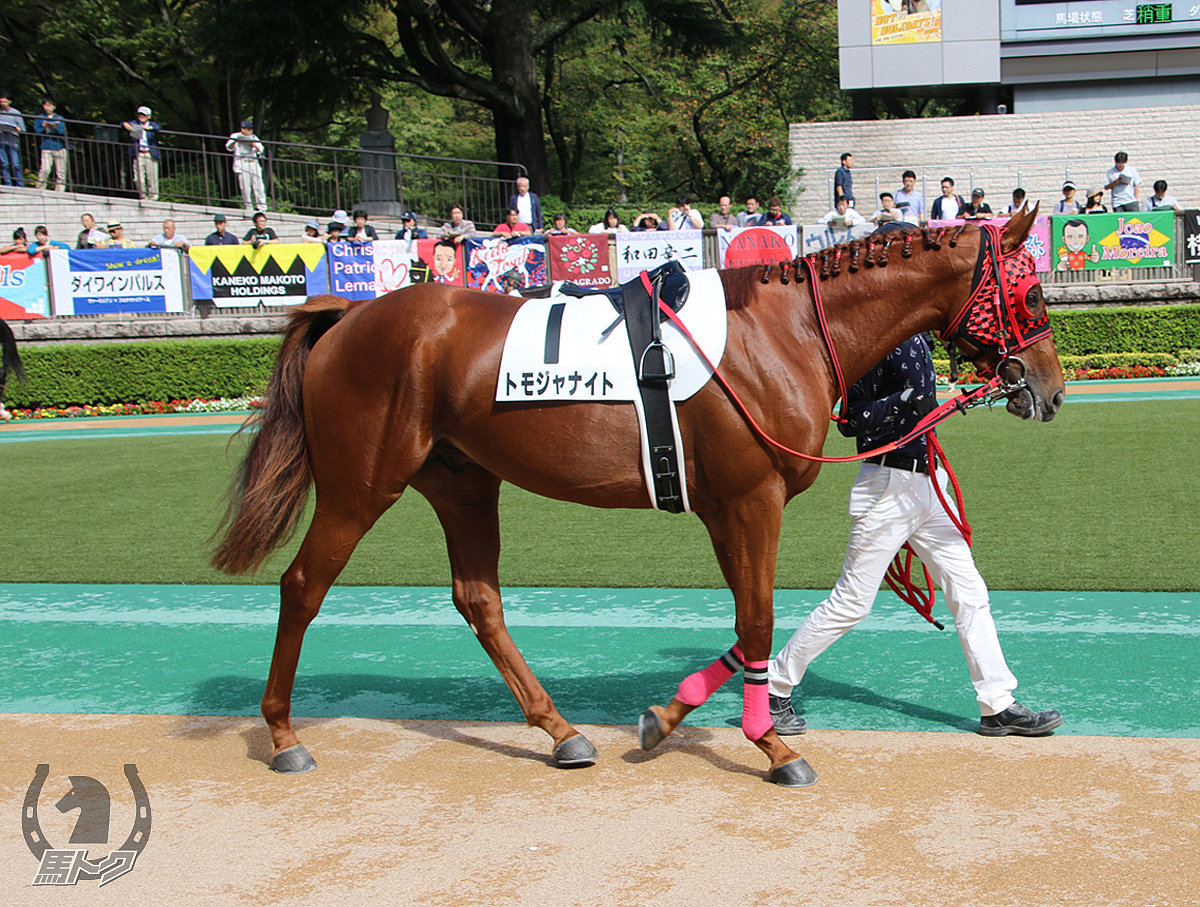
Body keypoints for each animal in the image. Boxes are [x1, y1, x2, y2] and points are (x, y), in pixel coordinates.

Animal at [211, 207, 1065, 787]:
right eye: (1030, 296)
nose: (1050, 389)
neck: (778, 333)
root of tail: (348, 312)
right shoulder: (751, 500)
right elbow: (758, 619)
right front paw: (771, 743)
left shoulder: (724, 507)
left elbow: (747, 623)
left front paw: (672, 715)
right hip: (361, 485)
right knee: (302, 585)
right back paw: (283, 734)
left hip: (462, 480)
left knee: (477, 596)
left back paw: (559, 729)